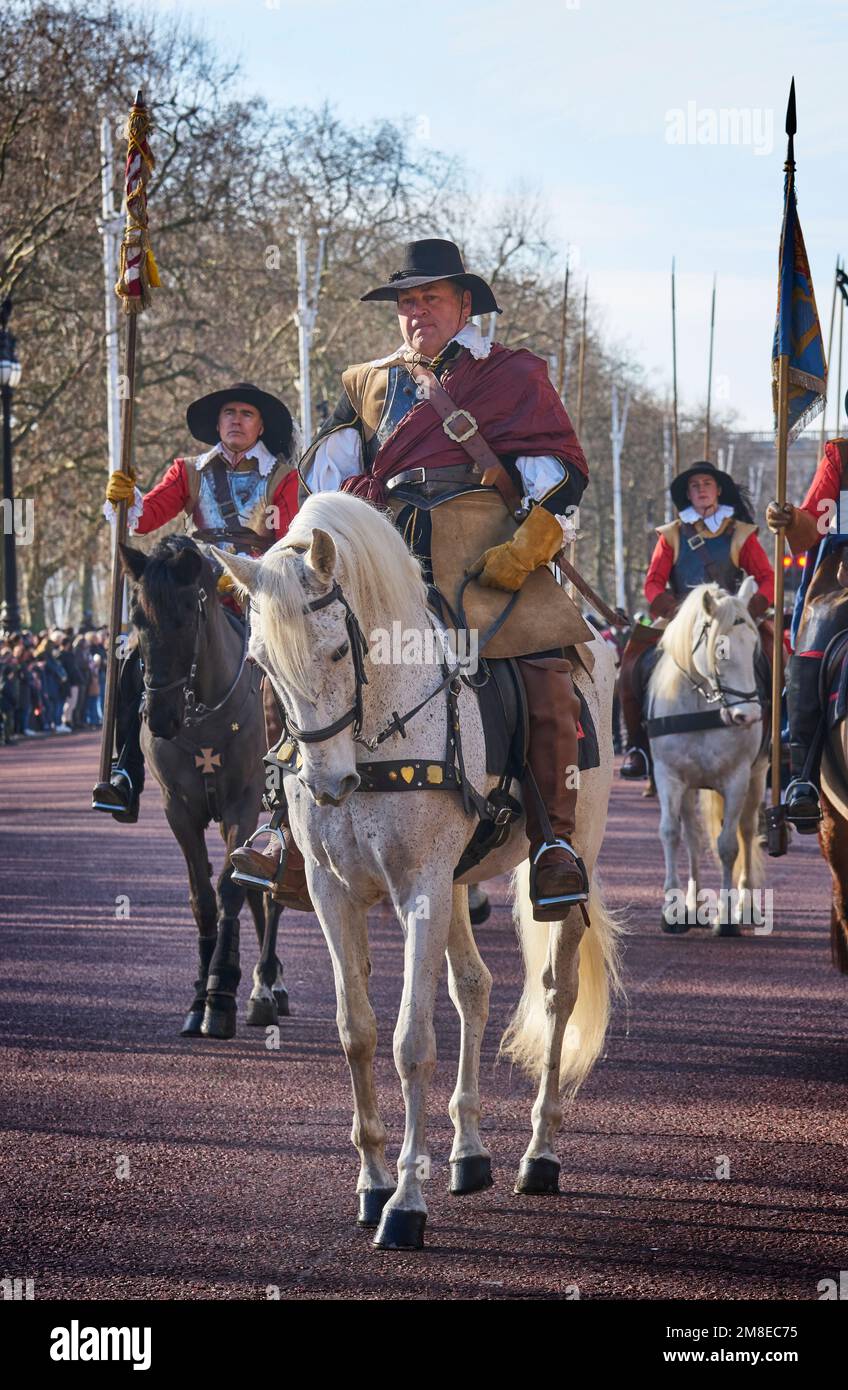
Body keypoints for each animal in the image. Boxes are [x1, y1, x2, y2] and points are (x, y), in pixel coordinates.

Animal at [118, 536, 287, 1039]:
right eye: (138, 620)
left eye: (184, 620)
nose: (159, 718)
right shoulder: (179, 809)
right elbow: (203, 898)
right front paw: (200, 996)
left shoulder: (243, 805)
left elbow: (231, 891)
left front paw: (220, 996)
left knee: (270, 893)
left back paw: (265, 987)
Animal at [212, 494, 620, 1256]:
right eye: (260, 663)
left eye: (337, 650)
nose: (329, 784)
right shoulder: (334, 893)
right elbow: (359, 1032)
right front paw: (373, 1184)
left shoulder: (420, 892)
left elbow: (411, 1043)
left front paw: (404, 1202)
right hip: (457, 882)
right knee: (474, 988)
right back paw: (468, 1154)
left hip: (567, 855)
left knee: (557, 993)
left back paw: (540, 1153)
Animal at [645, 575, 761, 934]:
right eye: (720, 650)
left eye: (754, 646)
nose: (748, 716)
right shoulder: (668, 776)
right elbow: (671, 833)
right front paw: (671, 910)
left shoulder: (738, 778)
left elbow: (728, 845)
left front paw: (726, 917)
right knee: (693, 837)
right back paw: (692, 905)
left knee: (747, 830)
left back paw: (745, 905)